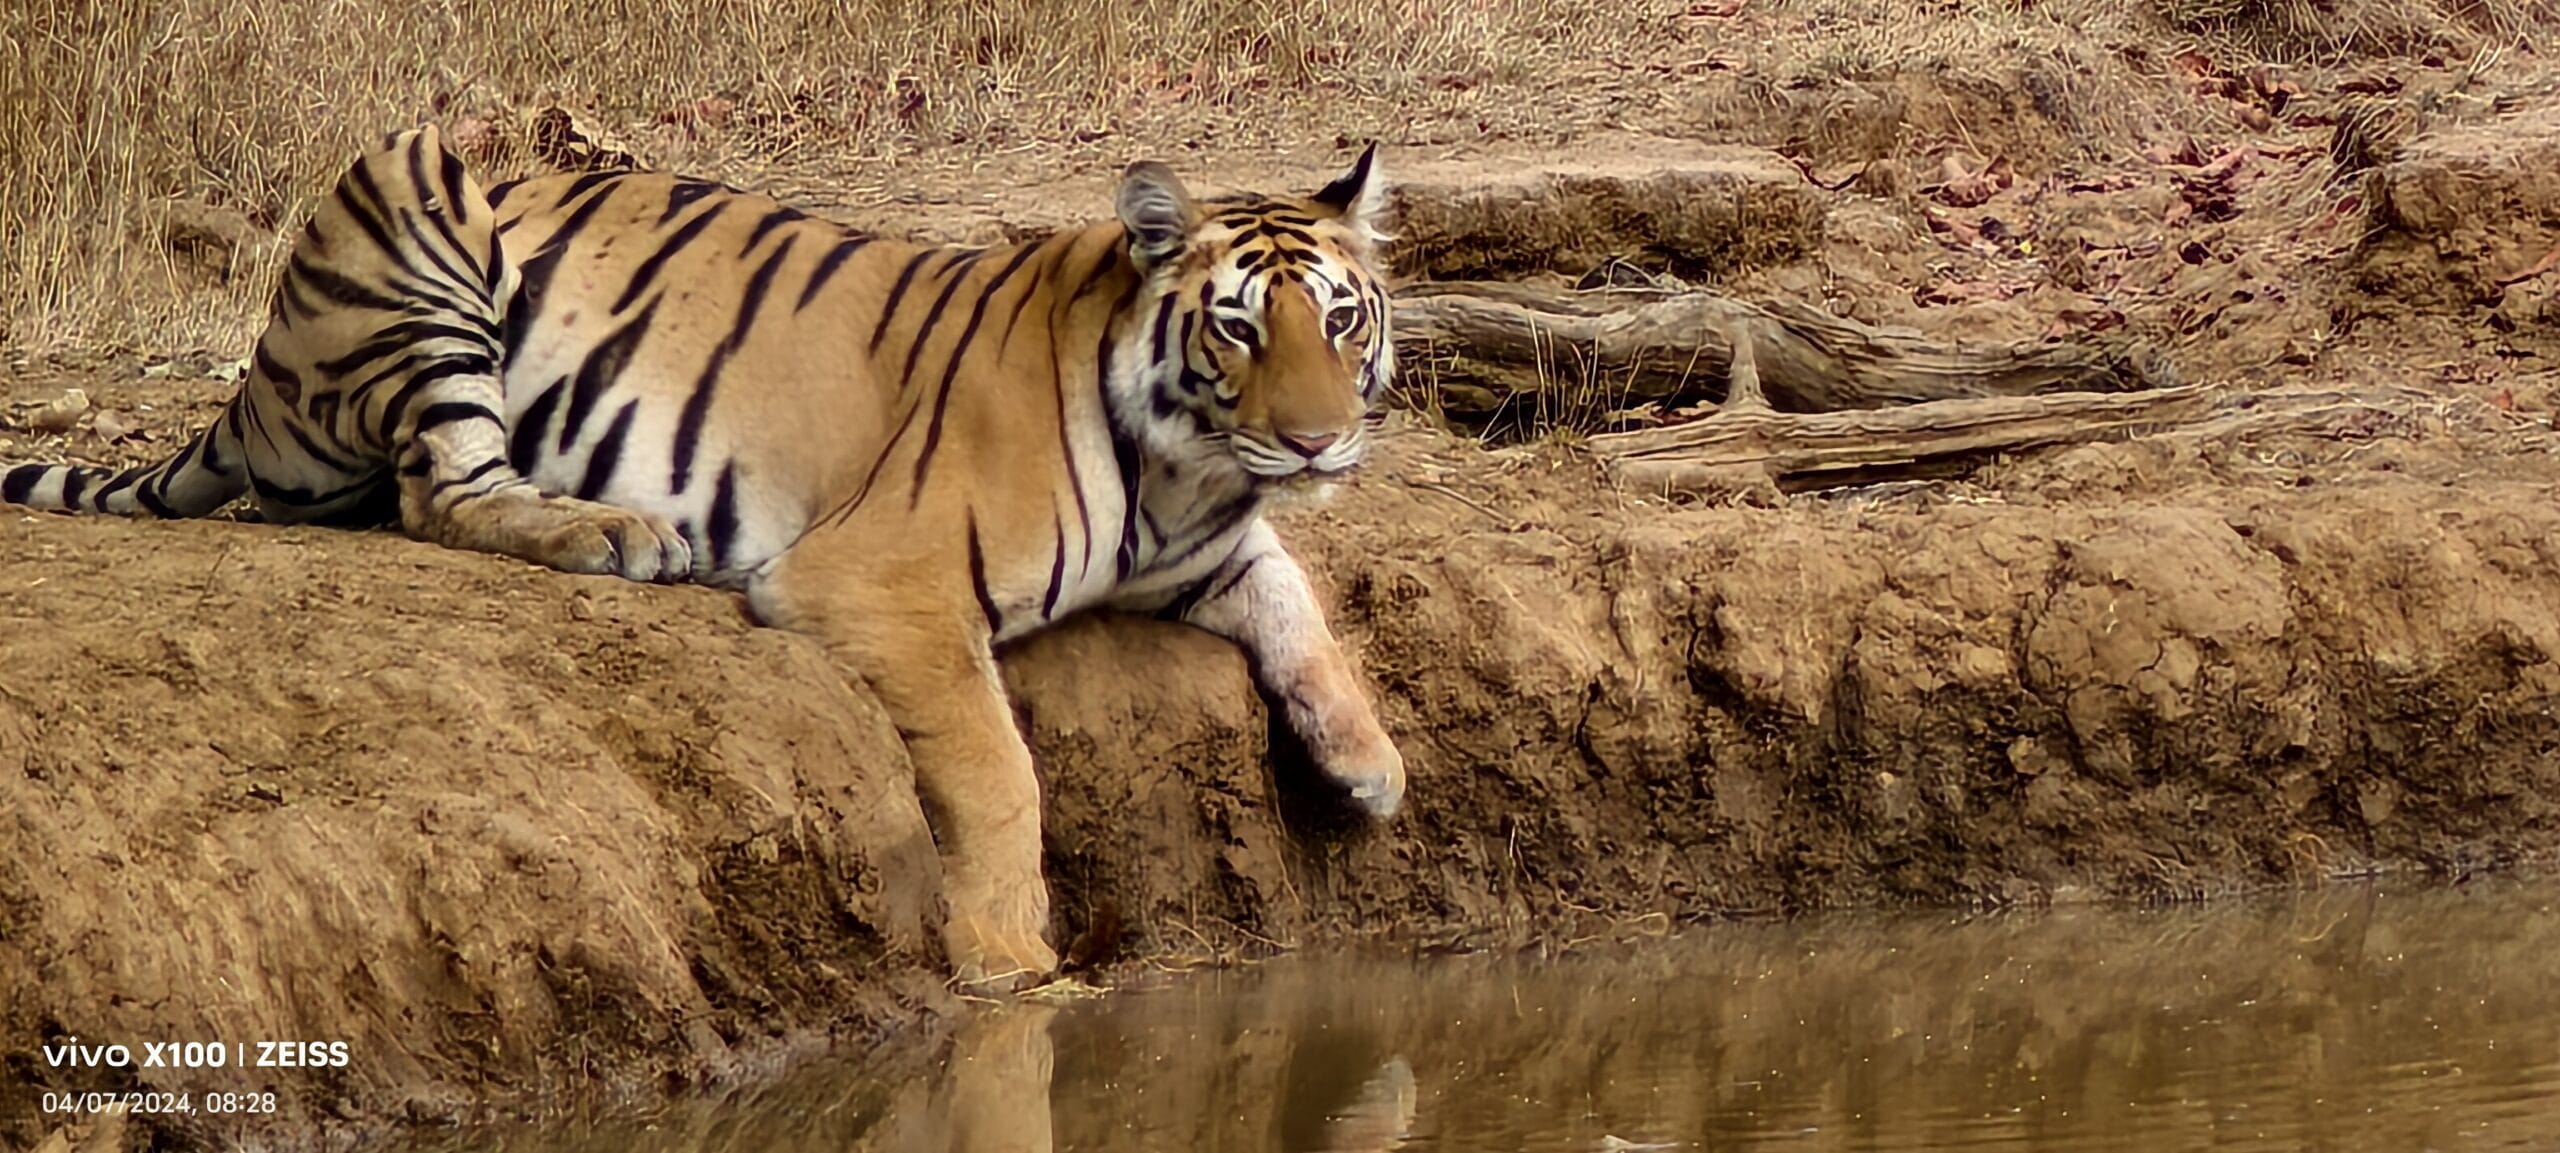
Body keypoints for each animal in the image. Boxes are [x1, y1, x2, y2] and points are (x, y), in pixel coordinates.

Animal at [1, 124, 1407, 992]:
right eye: (1239, 328)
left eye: (1341, 319)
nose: (1321, 439)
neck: (1188, 466)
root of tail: (254, 377)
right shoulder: (883, 582)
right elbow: (998, 771)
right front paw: (1009, 956)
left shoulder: (1208, 545)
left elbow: (1297, 603)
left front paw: (1369, 765)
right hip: (413, 184)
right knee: (443, 489)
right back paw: (616, 531)